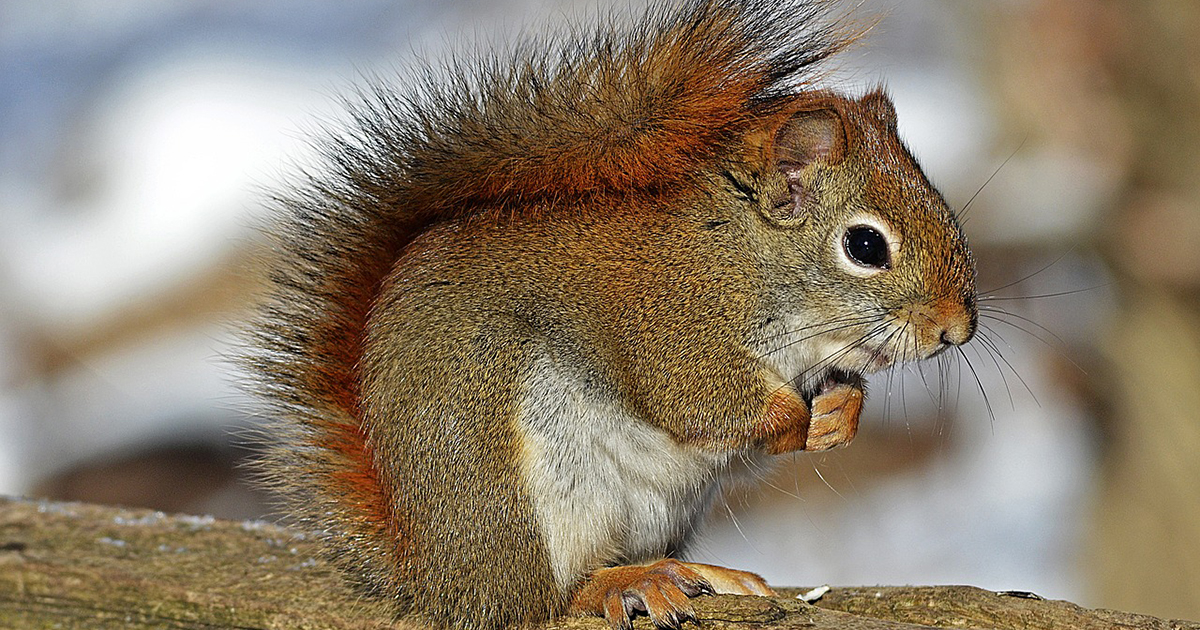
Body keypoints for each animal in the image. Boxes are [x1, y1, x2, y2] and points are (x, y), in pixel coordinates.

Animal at [241, 1, 974, 628]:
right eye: (865, 246)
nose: (956, 330)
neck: (744, 254)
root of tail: (436, 579)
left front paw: (841, 412)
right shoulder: (669, 323)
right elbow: (697, 401)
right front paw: (796, 418)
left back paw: (694, 573)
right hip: (519, 493)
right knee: (546, 598)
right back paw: (624, 583)